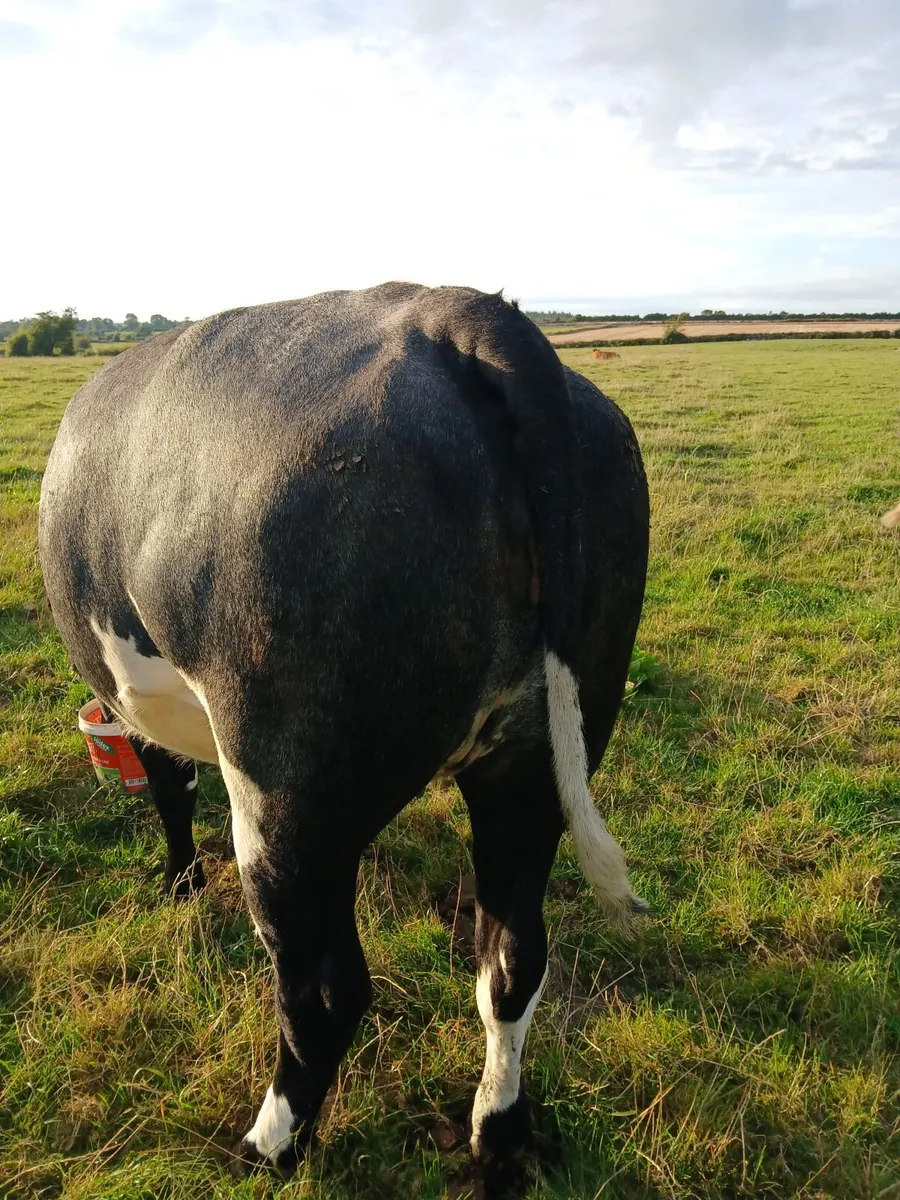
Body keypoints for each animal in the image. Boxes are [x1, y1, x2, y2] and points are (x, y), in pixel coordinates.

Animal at [38, 283, 649, 1184]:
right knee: (512, 960)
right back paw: (495, 1137)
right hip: (534, 759)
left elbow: (168, 786)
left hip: (285, 793)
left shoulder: (136, 700)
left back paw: (265, 1148)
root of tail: (457, 313)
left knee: (323, 991)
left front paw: (179, 882)